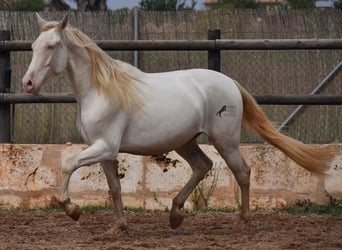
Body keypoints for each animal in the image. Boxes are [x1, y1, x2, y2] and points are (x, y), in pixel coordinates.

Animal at [22, 14, 336, 236]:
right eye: (33, 46)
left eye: (52, 46)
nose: (28, 84)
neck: (100, 91)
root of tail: (229, 82)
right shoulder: (106, 152)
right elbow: (115, 188)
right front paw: (117, 227)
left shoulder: (105, 147)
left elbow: (67, 165)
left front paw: (72, 209)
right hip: (186, 141)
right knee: (203, 166)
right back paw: (175, 215)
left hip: (225, 141)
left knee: (242, 172)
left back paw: (240, 223)